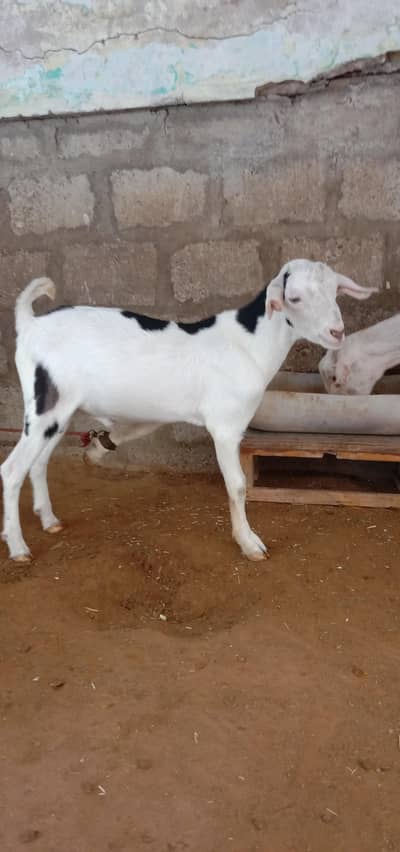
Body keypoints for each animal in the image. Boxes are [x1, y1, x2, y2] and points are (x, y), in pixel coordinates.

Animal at [1, 259, 375, 563]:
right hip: (46, 405)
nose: (337, 332)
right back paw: (18, 547)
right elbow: (237, 485)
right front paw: (249, 543)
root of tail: (30, 324)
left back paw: (48, 520)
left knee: (38, 462)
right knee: (12, 469)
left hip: (56, 411)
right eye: (294, 298)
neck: (248, 344)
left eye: (336, 290)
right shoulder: (226, 427)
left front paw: (95, 450)